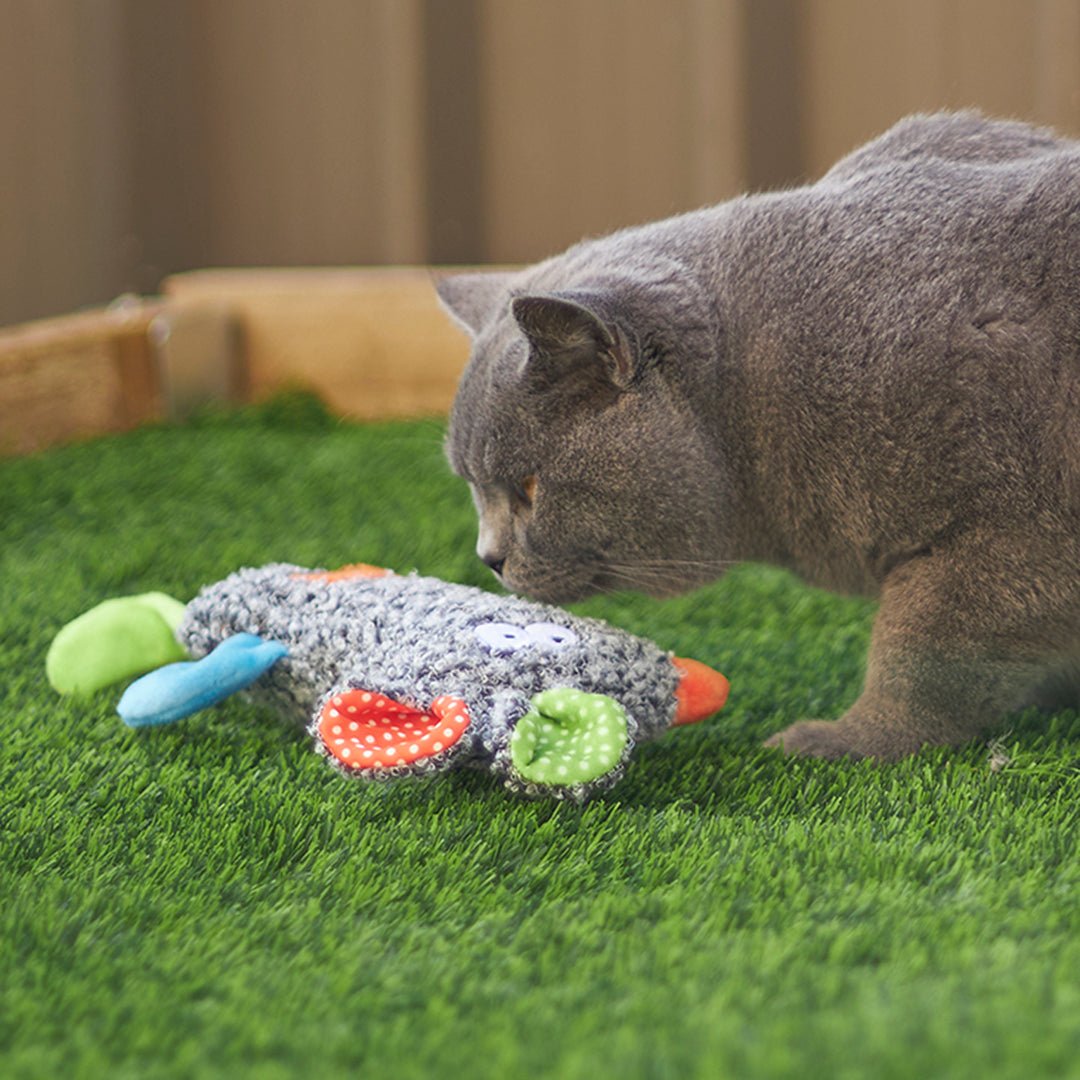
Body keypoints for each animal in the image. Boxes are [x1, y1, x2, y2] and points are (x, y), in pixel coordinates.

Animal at [434, 111, 1080, 760]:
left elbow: (924, 653)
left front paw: (844, 743)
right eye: (472, 486)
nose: (488, 558)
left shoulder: (1015, 536)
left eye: (529, 487)